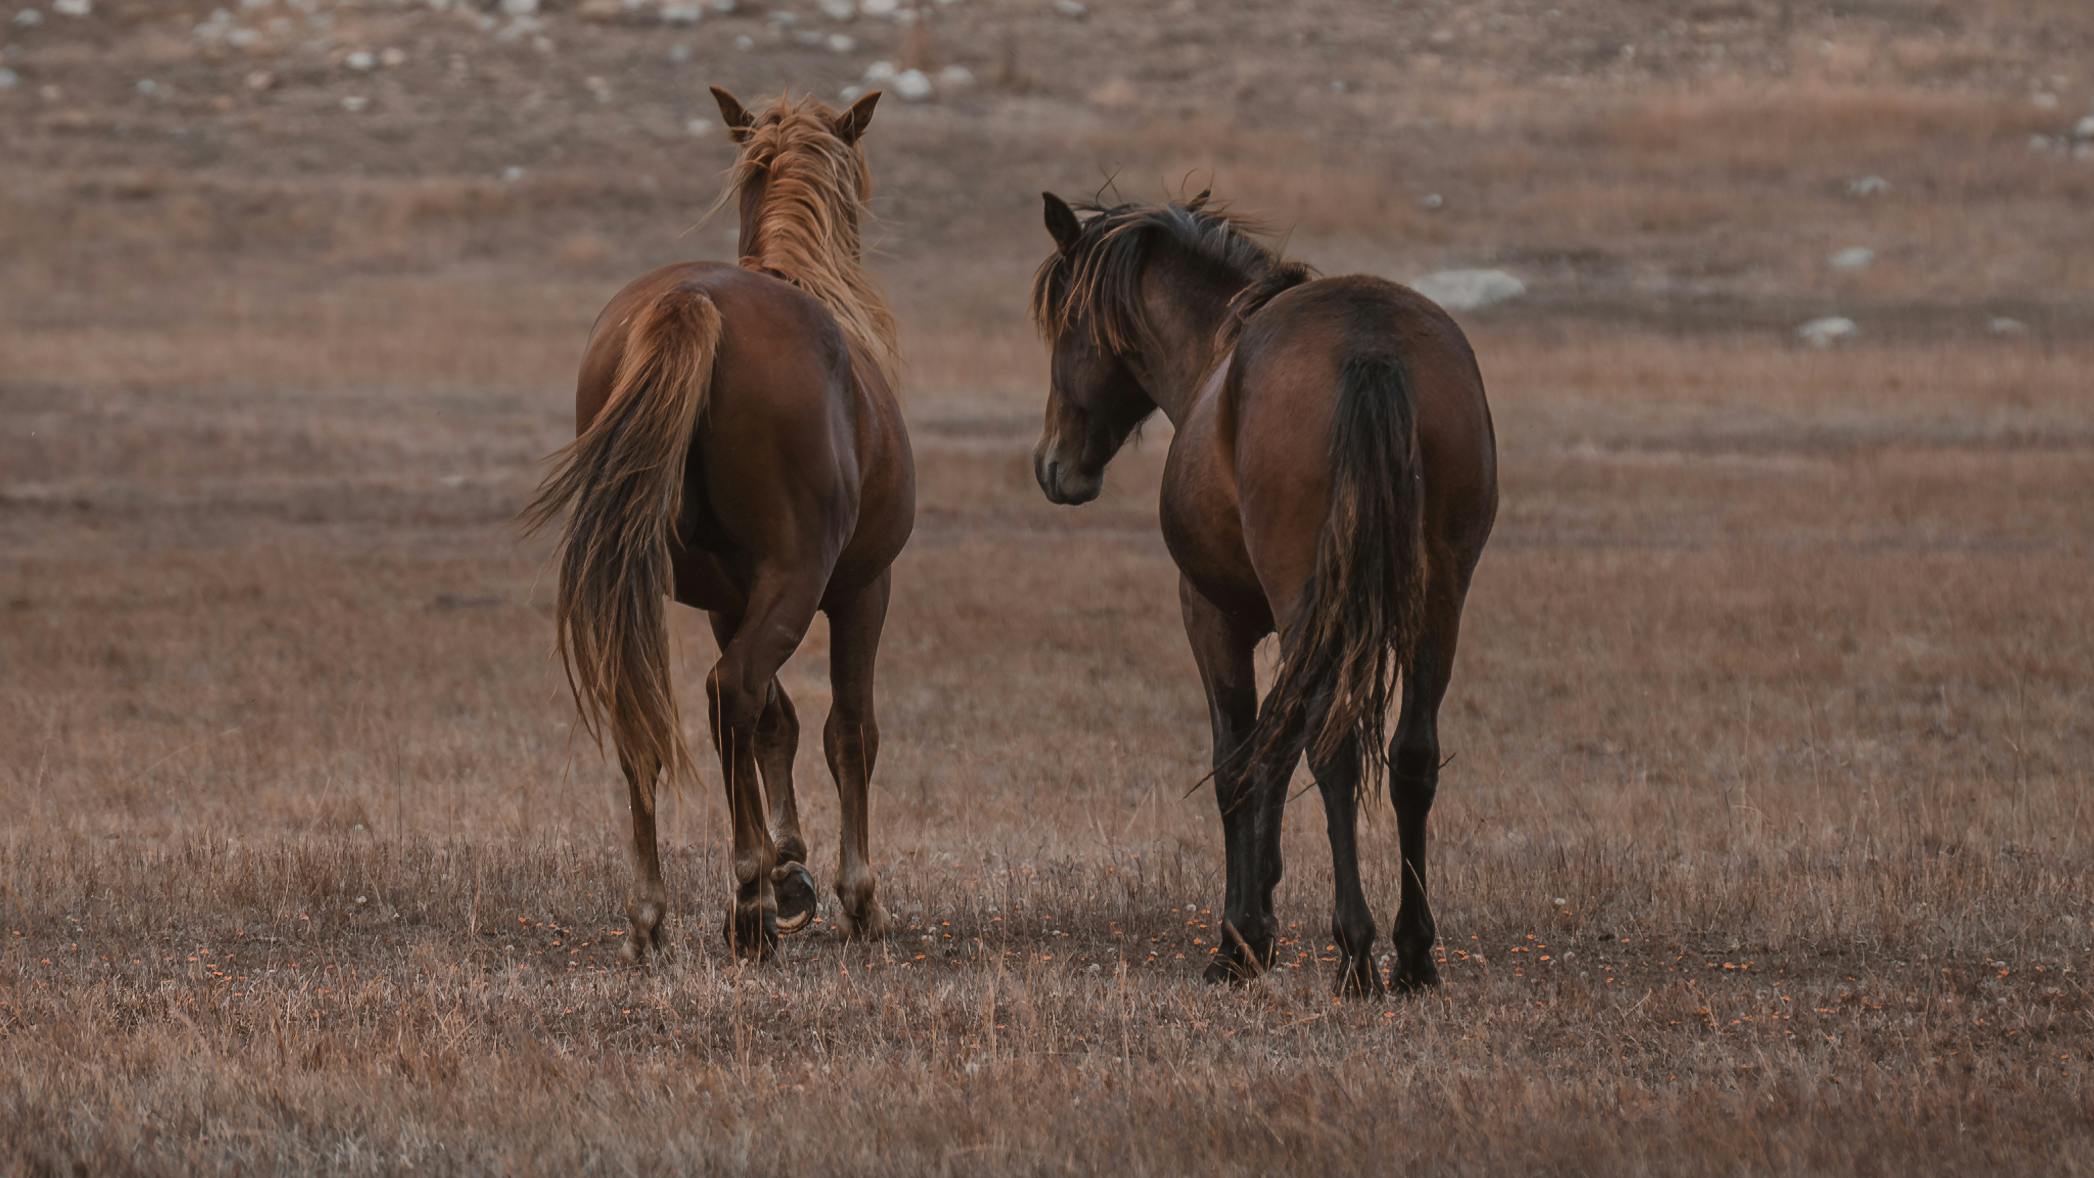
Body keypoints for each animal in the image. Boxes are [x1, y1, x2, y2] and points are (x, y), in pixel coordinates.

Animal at [523, 89, 908, 958]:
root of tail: (689, 303)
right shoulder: (863, 588)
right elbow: (846, 729)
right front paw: (849, 893)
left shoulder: (732, 599)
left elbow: (776, 722)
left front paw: (791, 868)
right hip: (805, 578)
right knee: (732, 691)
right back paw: (747, 905)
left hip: (648, 587)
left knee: (653, 713)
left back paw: (652, 913)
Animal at [1026, 191, 1490, 995]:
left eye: (1067, 328)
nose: (1053, 466)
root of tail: (1372, 347)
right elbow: (1274, 749)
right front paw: (1261, 917)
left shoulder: (1213, 615)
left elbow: (1236, 763)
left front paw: (1240, 939)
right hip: (1436, 609)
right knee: (1412, 758)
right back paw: (1414, 955)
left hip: (1313, 607)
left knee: (1332, 752)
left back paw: (1356, 952)